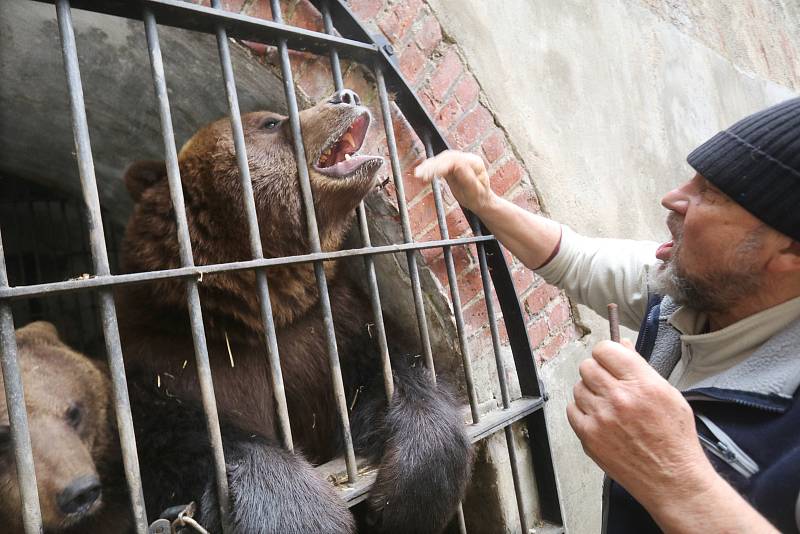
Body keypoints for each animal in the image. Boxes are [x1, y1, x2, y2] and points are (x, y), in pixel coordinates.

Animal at [115, 90, 472, 532]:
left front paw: (414, 491)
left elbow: (385, 371)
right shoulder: (161, 353)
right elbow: (170, 440)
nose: (346, 95)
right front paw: (298, 510)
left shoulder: (325, 330)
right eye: (270, 122)